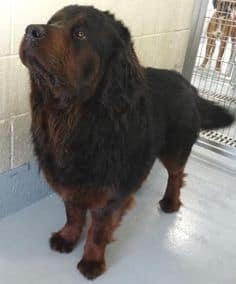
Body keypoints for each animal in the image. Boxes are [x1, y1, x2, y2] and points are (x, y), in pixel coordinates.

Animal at [19, 4, 234, 280]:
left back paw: (170, 201)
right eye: (52, 21)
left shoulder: (108, 192)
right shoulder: (71, 180)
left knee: (176, 174)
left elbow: (98, 230)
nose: (31, 30)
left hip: (175, 147)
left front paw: (92, 260)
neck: (74, 120)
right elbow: (73, 213)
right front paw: (68, 237)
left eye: (80, 34)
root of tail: (189, 85)